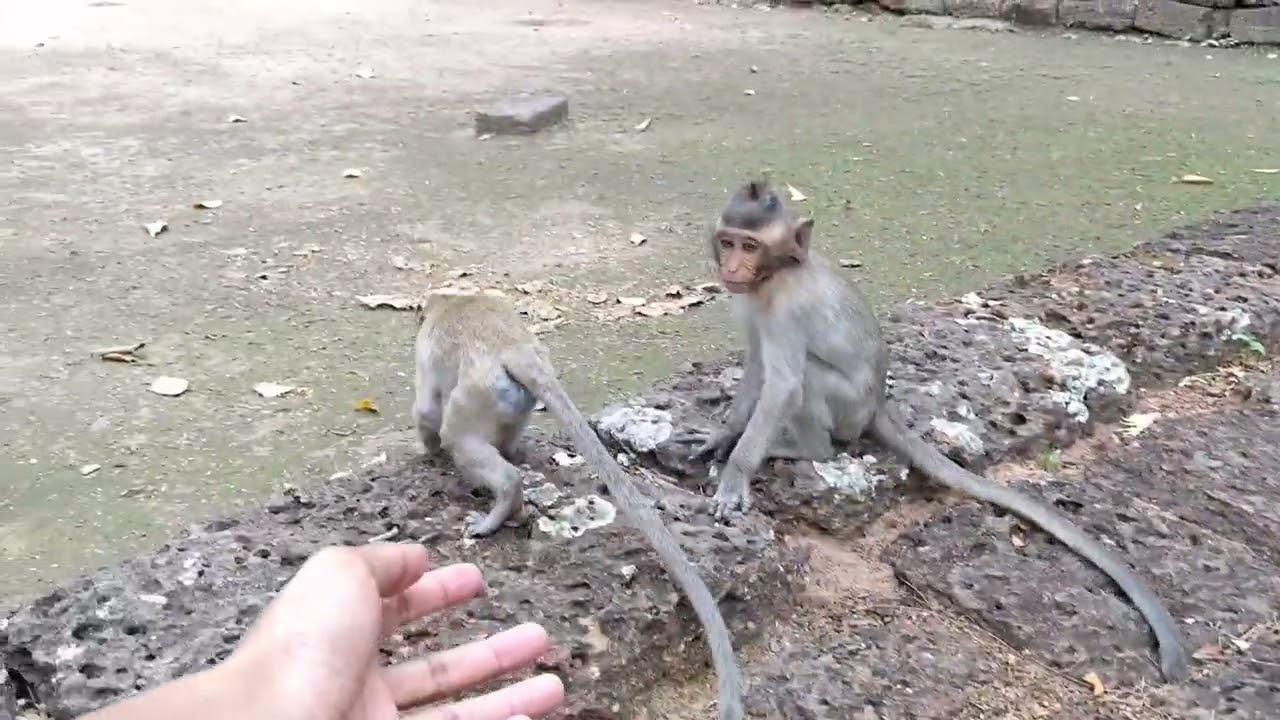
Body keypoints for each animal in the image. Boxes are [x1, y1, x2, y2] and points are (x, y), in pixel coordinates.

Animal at [412, 290, 745, 720]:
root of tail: (516, 348)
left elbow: (426, 409)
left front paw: (428, 449)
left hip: (477, 393)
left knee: (459, 436)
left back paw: (502, 499)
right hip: (512, 400)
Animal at [674, 180, 1190, 684]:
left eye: (750, 245)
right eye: (728, 241)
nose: (731, 264)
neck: (774, 277)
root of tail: (878, 405)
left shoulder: (788, 309)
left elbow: (781, 382)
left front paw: (736, 474)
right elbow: (756, 363)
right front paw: (724, 436)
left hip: (848, 408)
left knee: (808, 381)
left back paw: (805, 448)